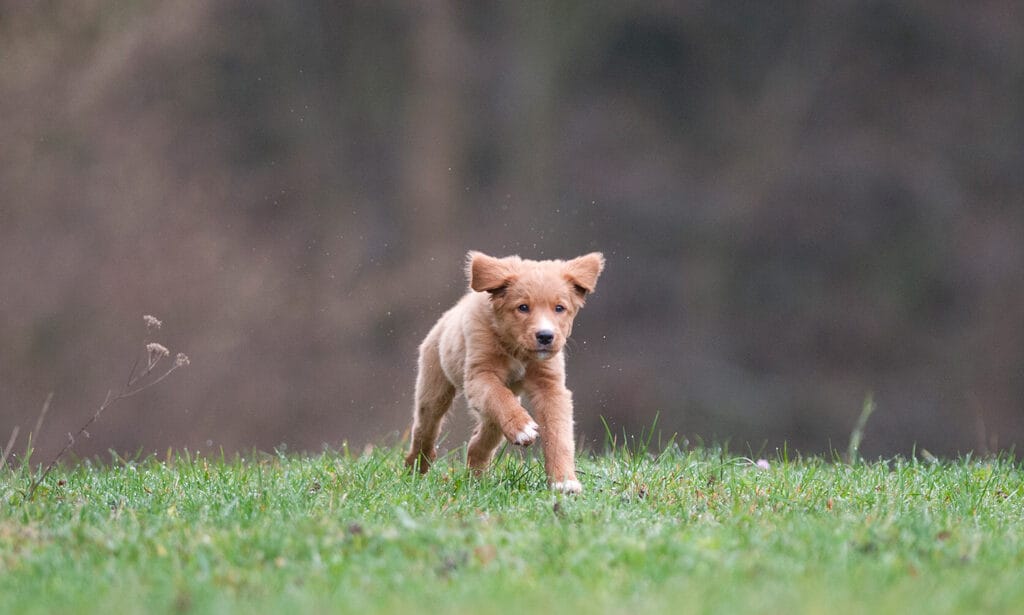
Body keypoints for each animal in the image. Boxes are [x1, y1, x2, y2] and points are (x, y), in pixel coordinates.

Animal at [403, 249, 602, 493]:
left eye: (559, 308)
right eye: (523, 307)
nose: (545, 336)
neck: (516, 350)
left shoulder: (550, 387)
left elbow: (559, 435)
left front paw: (564, 481)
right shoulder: (480, 375)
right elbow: (497, 395)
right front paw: (523, 428)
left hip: (493, 415)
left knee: (481, 438)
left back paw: (476, 480)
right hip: (434, 388)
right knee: (425, 429)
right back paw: (415, 468)